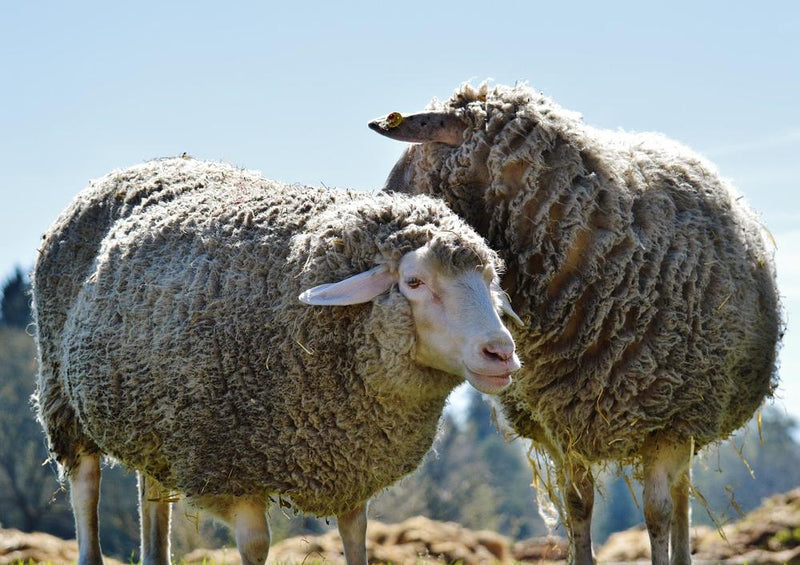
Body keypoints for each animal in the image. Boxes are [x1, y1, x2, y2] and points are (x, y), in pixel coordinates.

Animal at [31, 156, 520, 564]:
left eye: (489, 280)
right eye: (414, 281)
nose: (501, 352)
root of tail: (127, 169)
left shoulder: (348, 463)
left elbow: (356, 535)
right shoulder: (229, 467)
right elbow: (255, 545)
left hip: (150, 418)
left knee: (152, 498)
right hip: (61, 394)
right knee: (85, 489)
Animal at [368, 81, 780, 564]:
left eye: (411, 165)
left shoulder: (669, 421)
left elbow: (656, 513)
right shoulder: (564, 426)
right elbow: (577, 505)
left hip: (691, 417)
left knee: (678, 498)